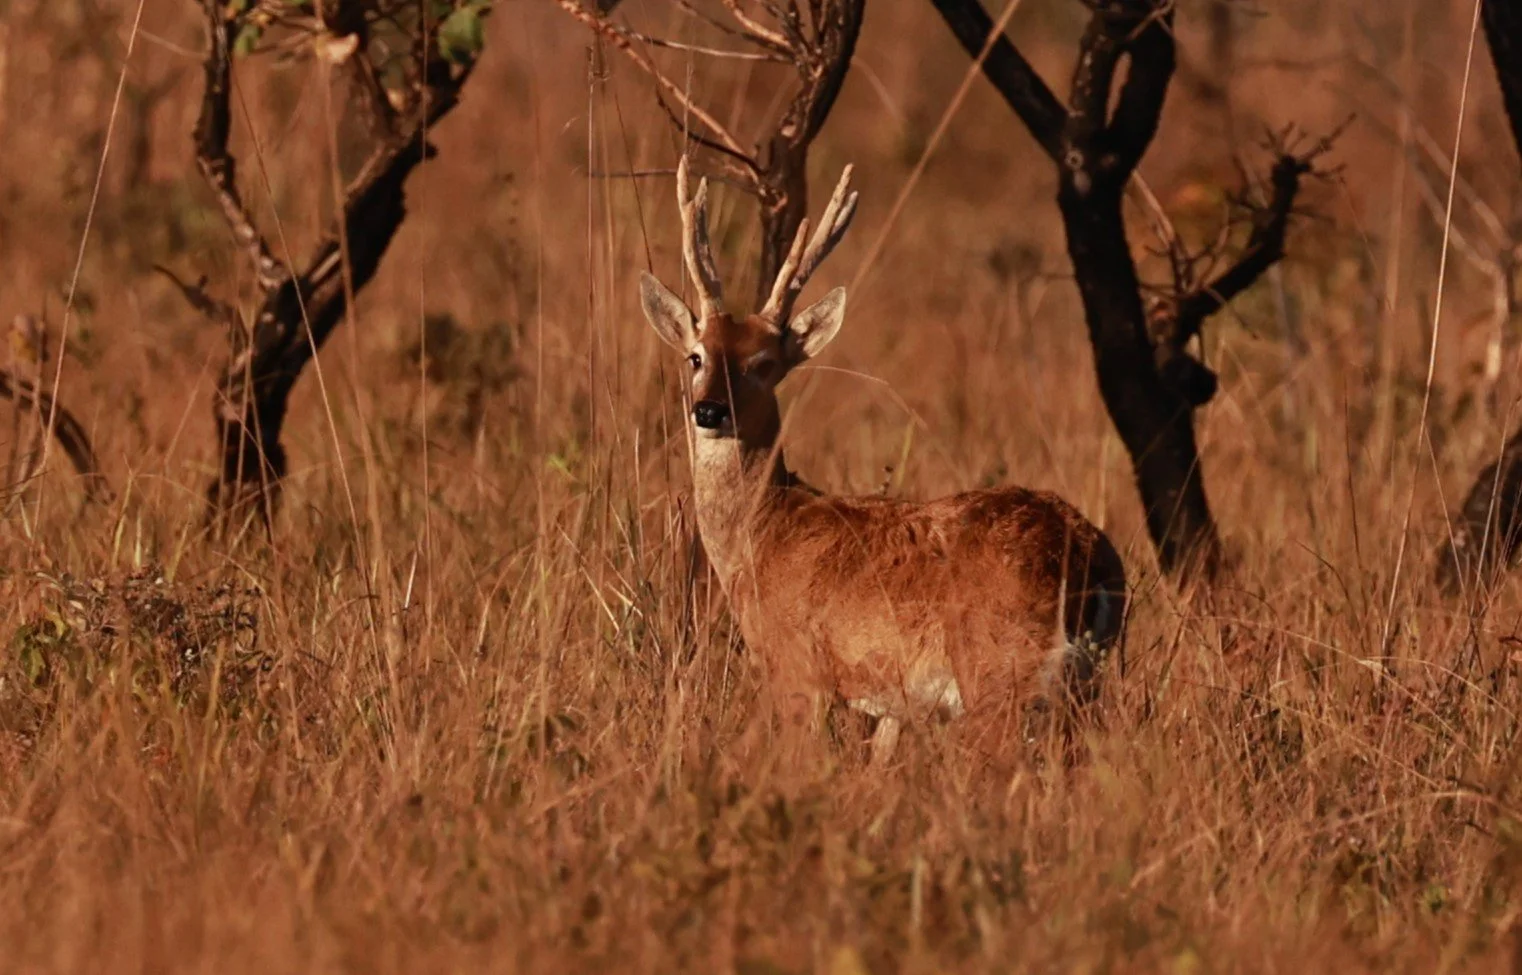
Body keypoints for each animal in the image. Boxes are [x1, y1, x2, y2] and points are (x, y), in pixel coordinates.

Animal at [640, 157, 1128, 769]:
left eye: (763, 363)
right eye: (696, 356)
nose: (709, 410)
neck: (761, 535)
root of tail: (1091, 557)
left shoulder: (799, 668)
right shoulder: (893, 706)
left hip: (1001, 672)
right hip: (1088, 683)